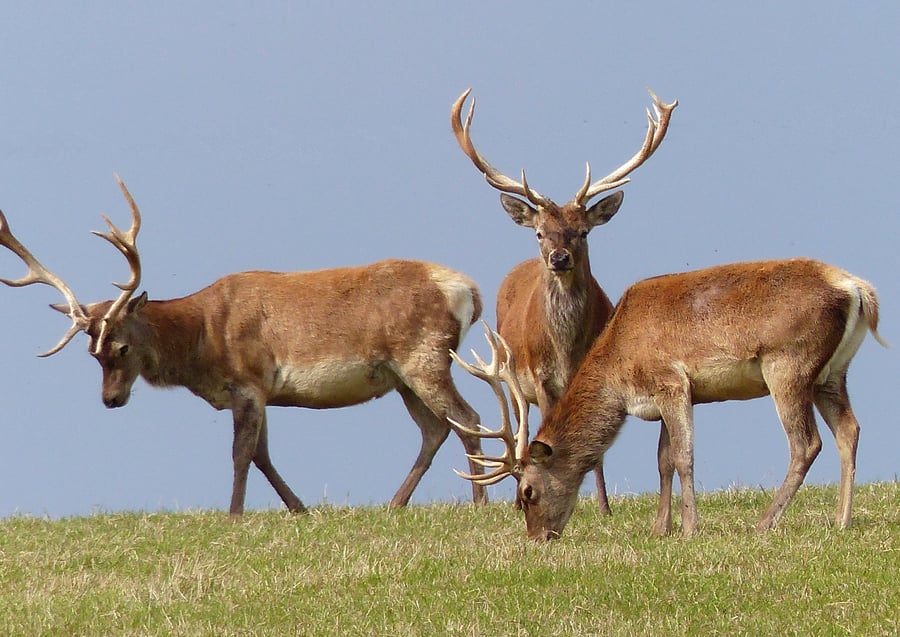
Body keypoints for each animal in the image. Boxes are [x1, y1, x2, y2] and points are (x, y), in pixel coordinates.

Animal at [0, 175, 491, 517]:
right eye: (92, 353)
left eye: (120, 346)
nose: (110, 399)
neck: (202, 343)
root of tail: (469, 290)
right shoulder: (262, 392)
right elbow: (262, 455)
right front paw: (300, 509)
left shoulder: (249, 381)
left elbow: (241, 454)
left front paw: (233, 515)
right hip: (401, 375)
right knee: (435, 429)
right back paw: (395, 503)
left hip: (424, 356)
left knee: (468, 418)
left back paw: (480, 503)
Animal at [451, 87, 677, 514]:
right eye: (540, 232)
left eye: (583, 231)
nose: (559, 257)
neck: (566, 350)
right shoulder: (541, 377)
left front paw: (604, 507)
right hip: (510, 372)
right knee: (520, 422)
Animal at [451, 259, 887, 541]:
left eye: (528, 493)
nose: (538, 538)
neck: (620, 367)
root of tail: (858, 290)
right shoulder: (665, 398)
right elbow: (662, 461)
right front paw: (660, 528)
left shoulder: (672, 381)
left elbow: (683, 456)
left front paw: (690, 529)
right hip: (832, 373)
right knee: (849, 430)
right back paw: (842, 520)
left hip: (787, 363)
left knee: (806, 443)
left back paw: (765, 523)